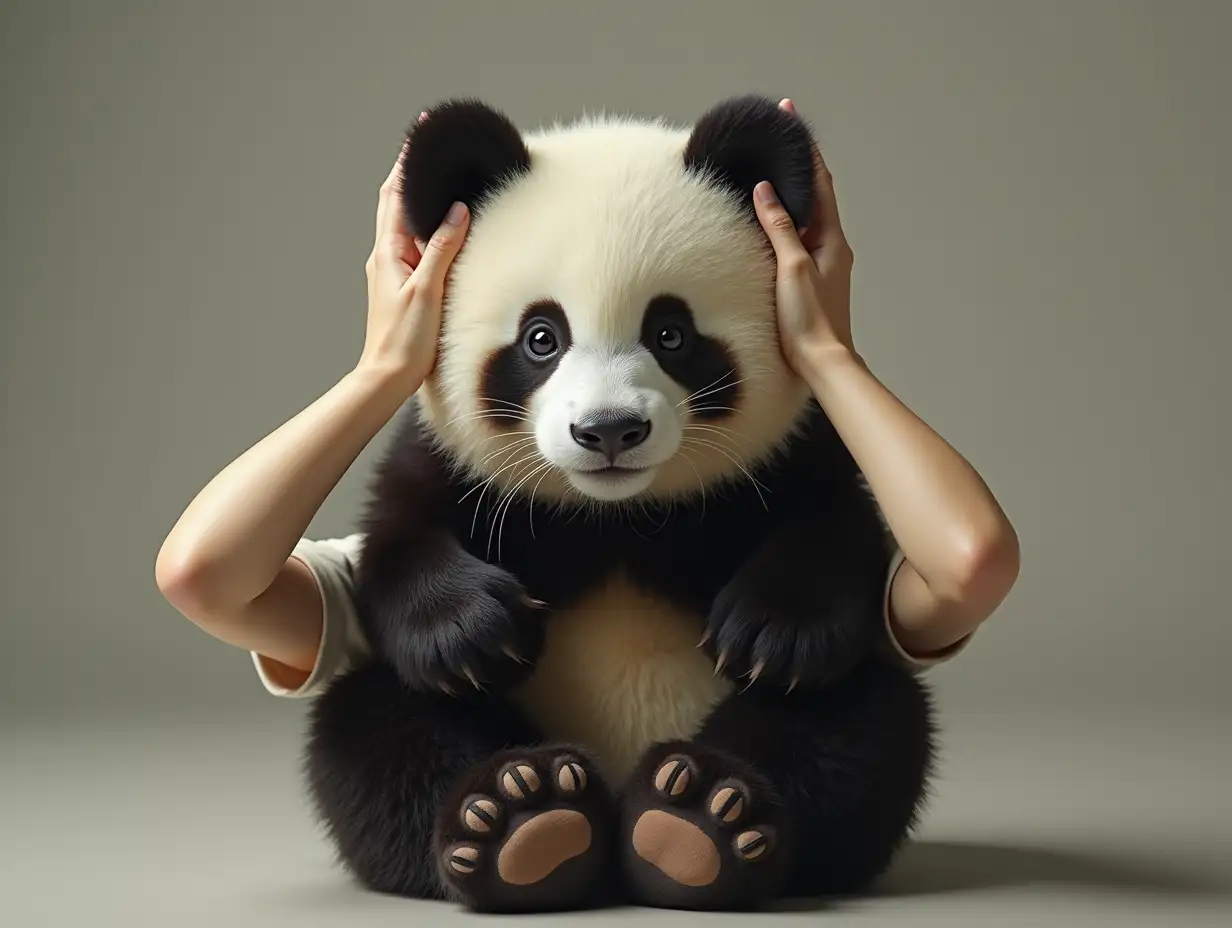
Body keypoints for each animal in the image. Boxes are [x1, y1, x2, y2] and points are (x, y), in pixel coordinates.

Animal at [305, 94, 931, 911]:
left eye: (670, 333)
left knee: (856, 729)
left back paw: (692, 821)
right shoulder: (454, 463)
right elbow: (398, 536)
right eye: (541, 337)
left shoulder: (786, 452)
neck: (616, 516)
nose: (608, 430)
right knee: (378, 733)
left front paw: (773, 632)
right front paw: (471, 631)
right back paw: (523, 819)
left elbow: (836, 523)